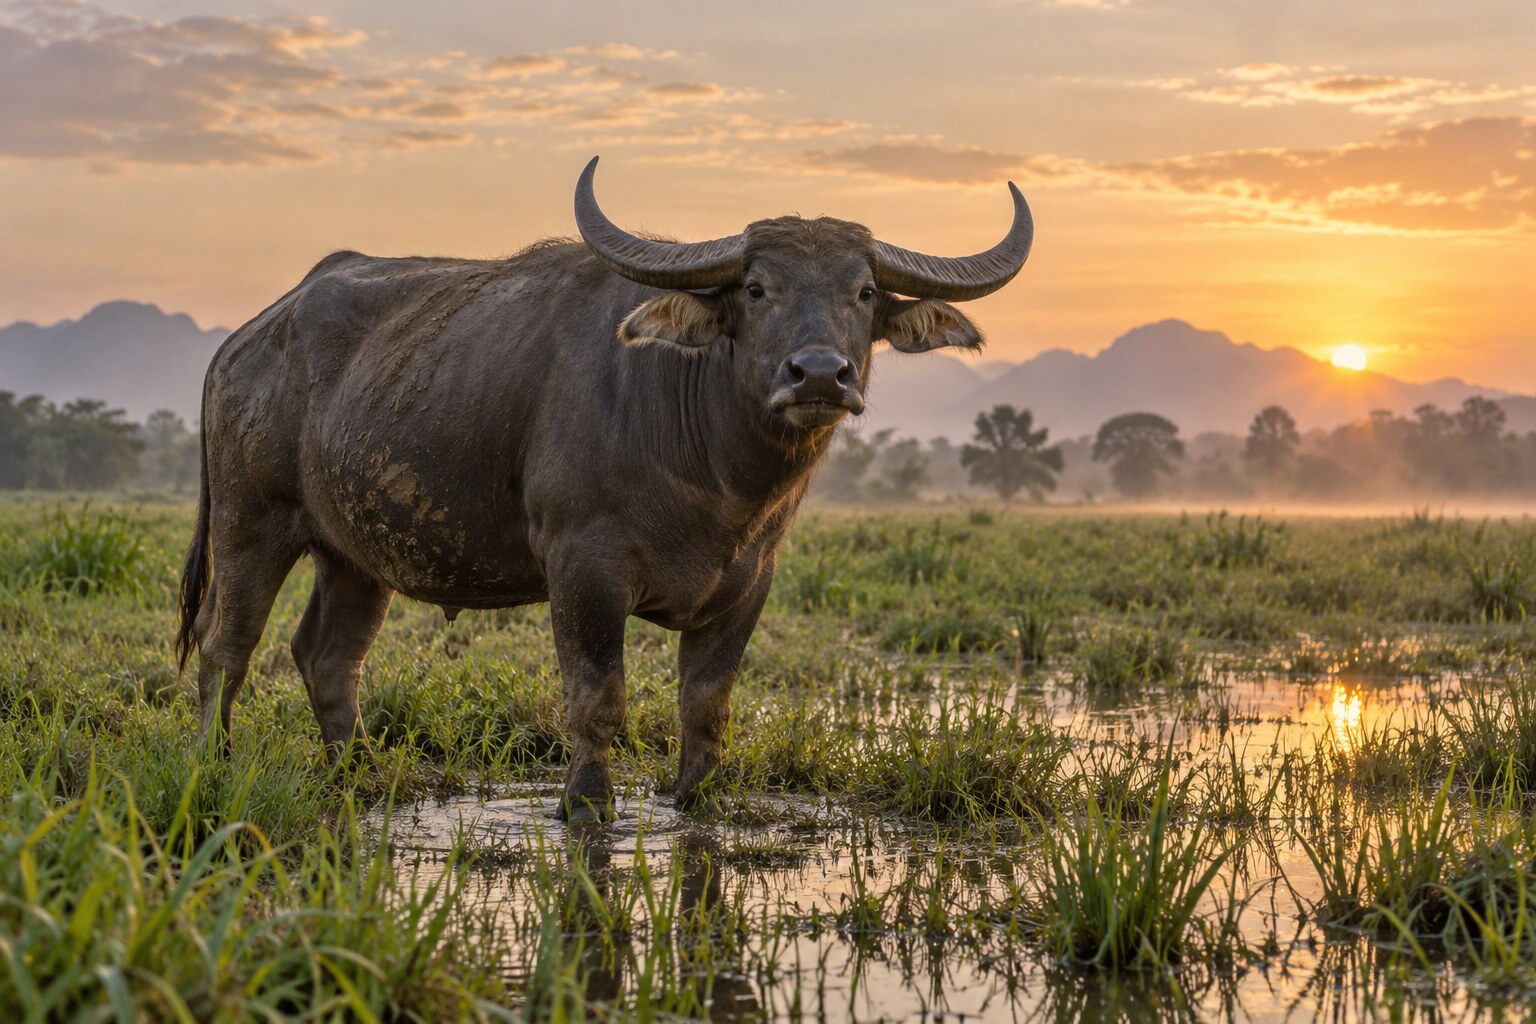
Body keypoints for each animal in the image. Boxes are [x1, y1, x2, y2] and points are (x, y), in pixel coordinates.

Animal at [177, 157, 1033, 821]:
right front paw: (586, 804)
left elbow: (706, 707)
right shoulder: (583, 569)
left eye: (864, 291)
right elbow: (597, 699)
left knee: (328, 657)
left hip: (356, 554)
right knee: (226, 647)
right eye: (757, 288)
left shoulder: (748, 584)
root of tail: (247, 340)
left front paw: (696, 800)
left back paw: (359, 772)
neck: (716, 479)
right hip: (252, 523)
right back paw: (214, 763)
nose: (820, 374)